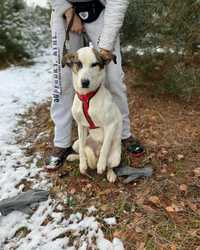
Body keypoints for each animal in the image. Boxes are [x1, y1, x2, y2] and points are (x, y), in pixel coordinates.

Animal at [62, 47, 122, 183]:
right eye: (78, 63)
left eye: (94, 64)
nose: (85, 82)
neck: (87, 98)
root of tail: (96, 152)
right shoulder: (81, 126)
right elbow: (82, 151)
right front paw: (82, 165)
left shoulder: (111, 125)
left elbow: (105, 146)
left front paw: (101, 165)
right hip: (75, 144)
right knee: (81, 150)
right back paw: (74, 157)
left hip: (115, 157)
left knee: (110, 165)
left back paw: (110, 173)